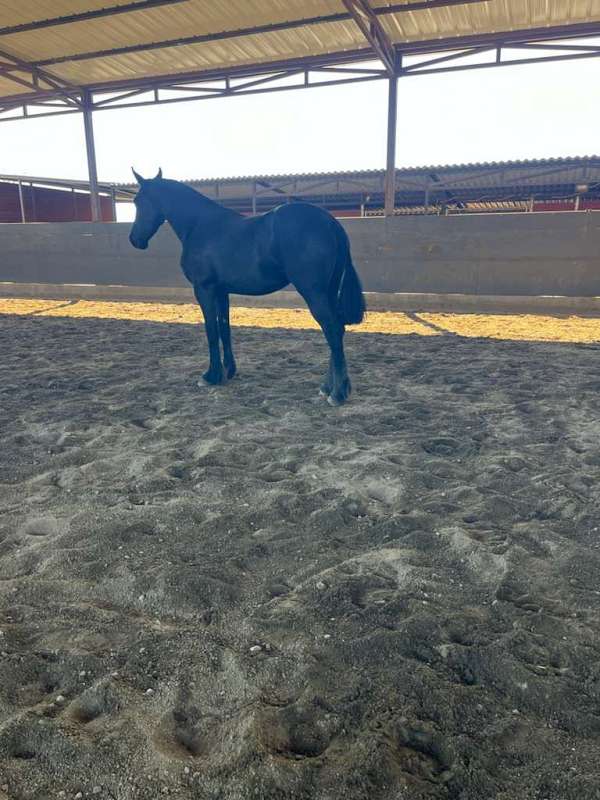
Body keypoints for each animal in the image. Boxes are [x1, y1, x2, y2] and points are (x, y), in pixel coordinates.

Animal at [128, 169, 366, 405]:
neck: (200, 225)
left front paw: (211, 376)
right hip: (328, 292)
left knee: (332, 329)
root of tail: (330, 222)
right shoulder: (221, 291)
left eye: (137, 201)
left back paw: (337, 393)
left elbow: (211, 330)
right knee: (337, 331)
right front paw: (228, 371)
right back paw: (328, 388)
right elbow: (224, 328)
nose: (134, 240)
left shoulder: (204, 289)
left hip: (314, 292)